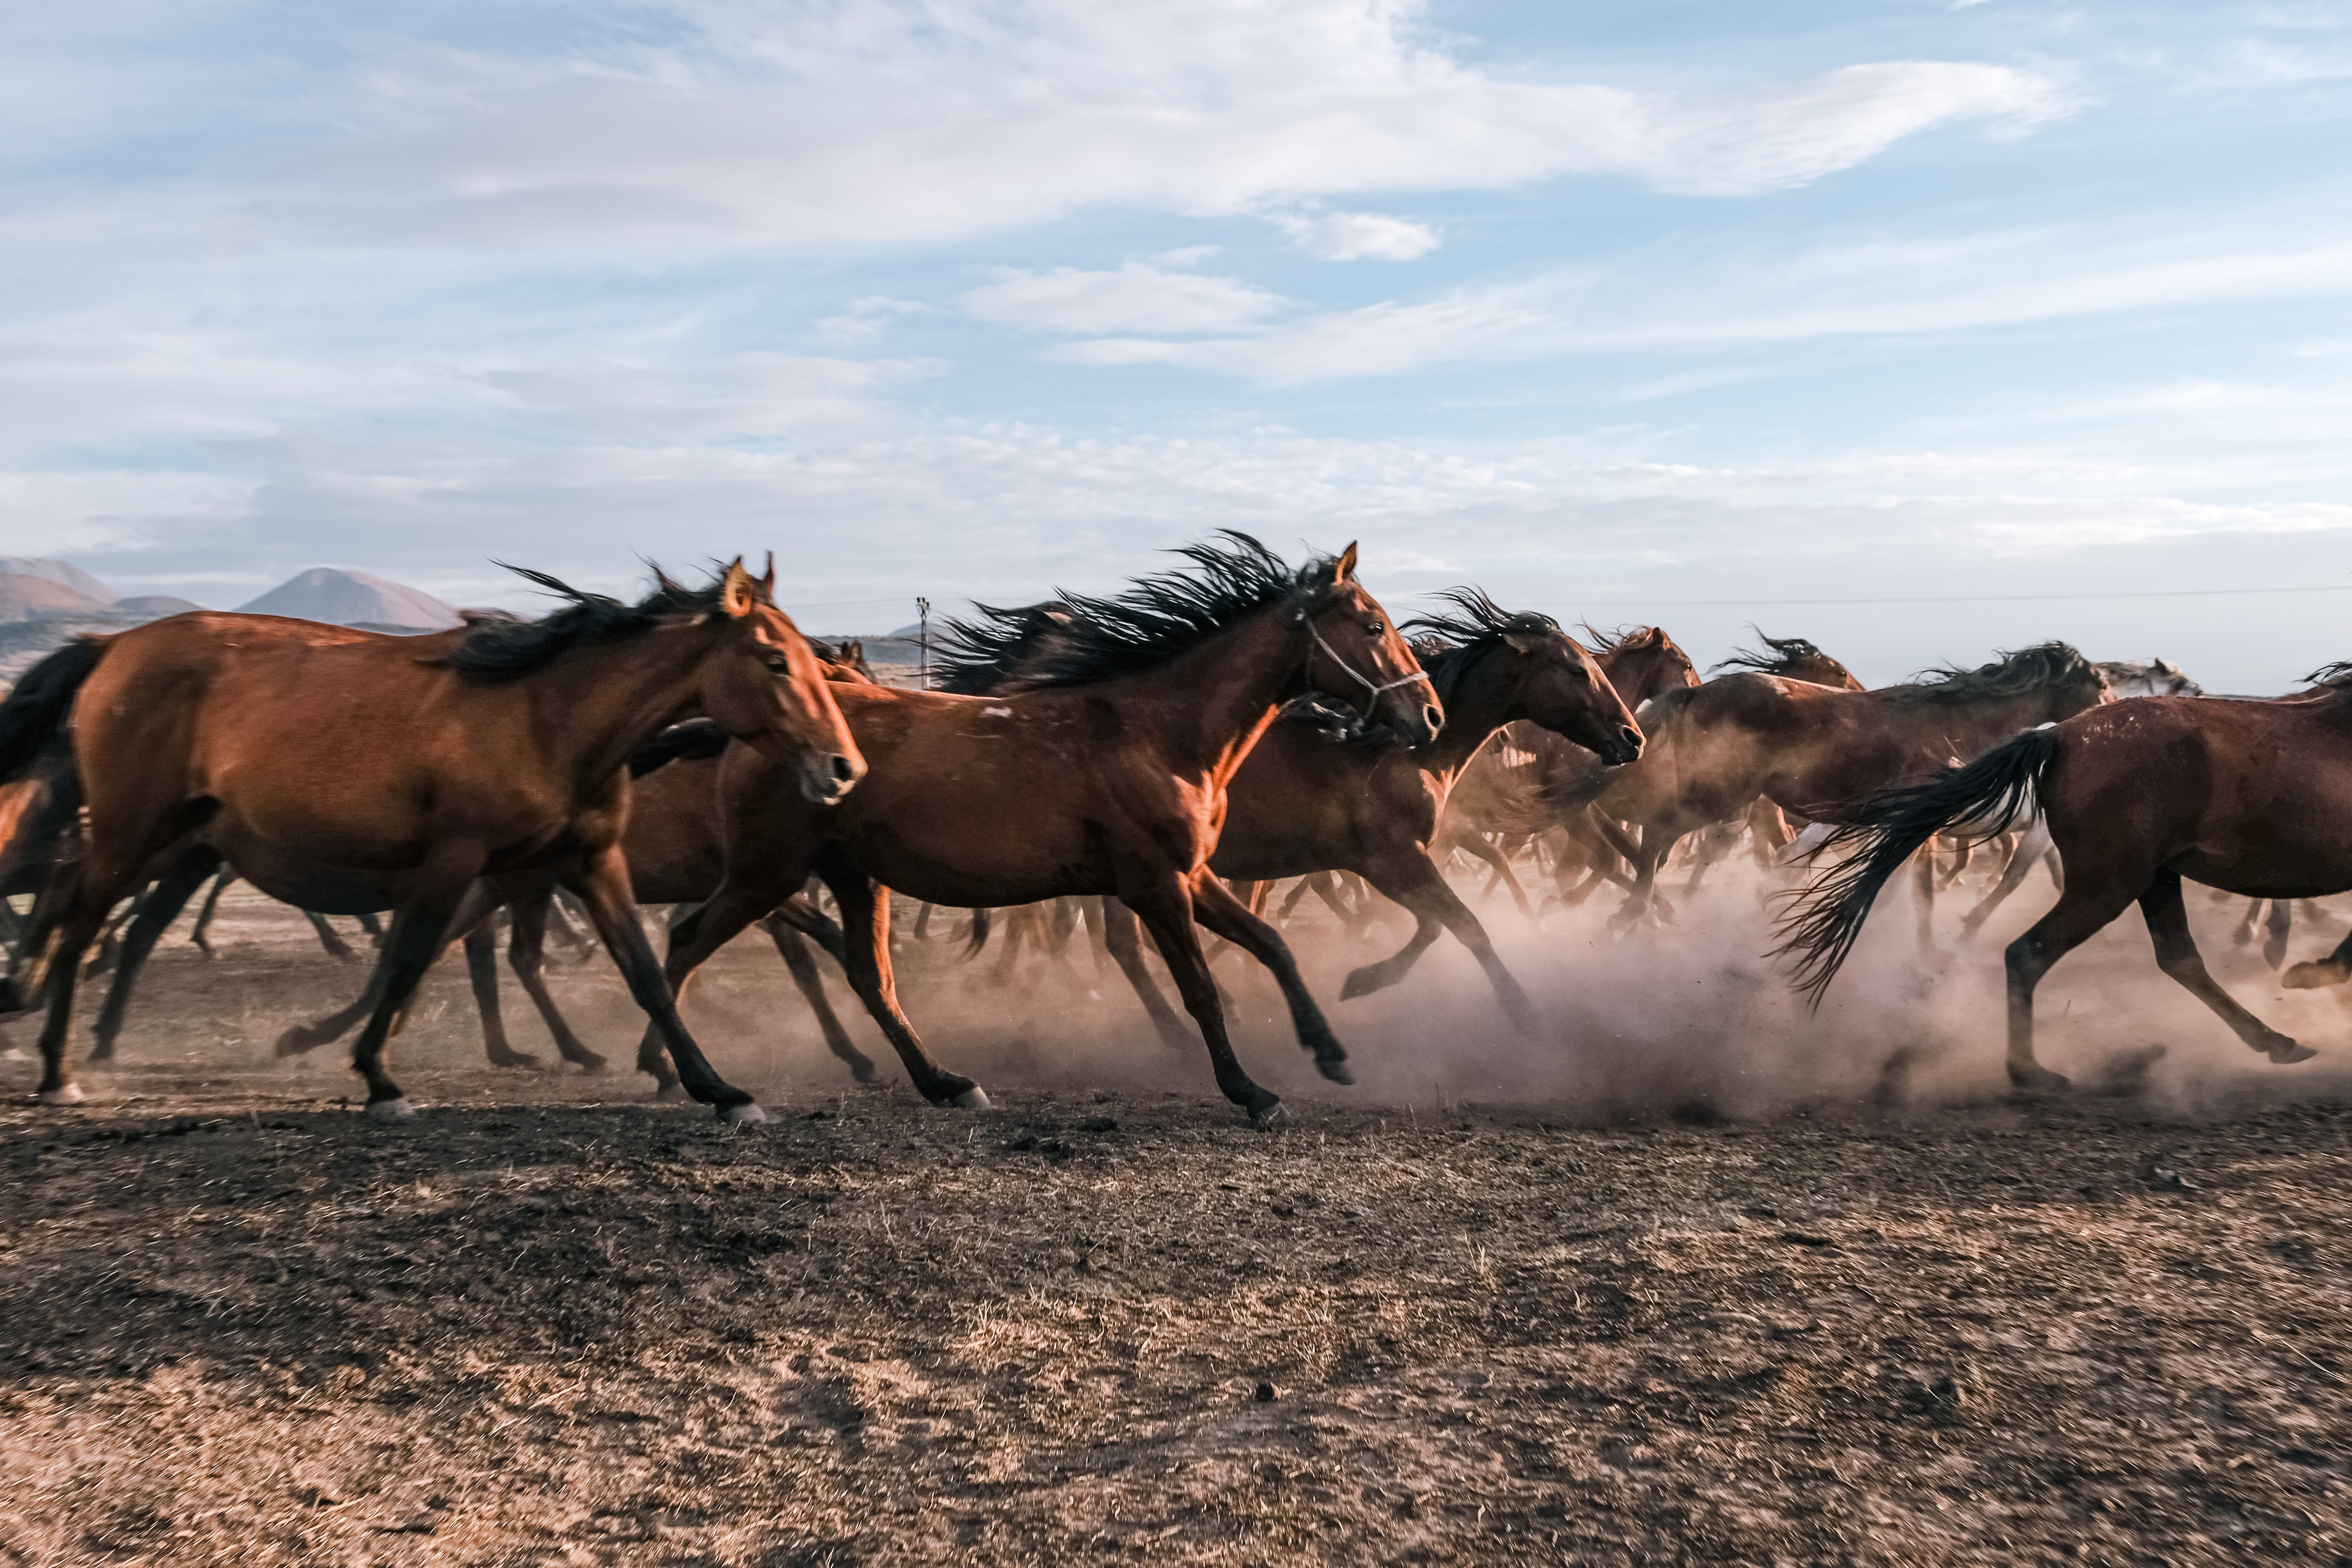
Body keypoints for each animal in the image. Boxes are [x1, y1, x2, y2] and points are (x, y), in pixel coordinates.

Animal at [0, 564, 866, 1114]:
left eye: (817, 662)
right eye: (776, 660)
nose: (844, 767)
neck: (550, 717)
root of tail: (112, 647)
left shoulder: (588, 863)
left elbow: (648, 972)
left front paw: (717, 1088)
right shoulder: (457, 859)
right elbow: (412, 956)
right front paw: (380, 1079)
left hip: (179, 839)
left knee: (87, 914)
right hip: (136, 830)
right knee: (84, 921)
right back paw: (61, 1063)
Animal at [654, 534, 1439, 1123]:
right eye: (1374, 626)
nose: (1429, 715)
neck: (1162, 734)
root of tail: (745, 730)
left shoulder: (1191, 874)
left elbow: (1274, 947)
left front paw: (1330, 1051)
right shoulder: (1156, 886)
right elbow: (1201, 990)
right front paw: (1252, 1093)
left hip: (854, 875)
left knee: (869, 976)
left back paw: (948, 1084)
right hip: (769, 871)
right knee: (686, 944)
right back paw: (702, 1085)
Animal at [1599, 639, 2117, 931]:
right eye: (2100, 683)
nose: (2112, 718)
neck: (1952, 723)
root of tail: (1694, 693)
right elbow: (1917, 893)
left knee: (1663, 843)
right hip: (1719, 795)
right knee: (1659, 837)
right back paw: (1634, 912)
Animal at [1778, 682, 2352, 1100]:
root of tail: (2061, 737)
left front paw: (2306, 969)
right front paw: (2311, 971)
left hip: (2151, 877)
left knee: (2178, 957)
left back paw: (2275, 1039)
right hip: (2110, 883)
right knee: (2028, 952)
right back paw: (2031, 1073)